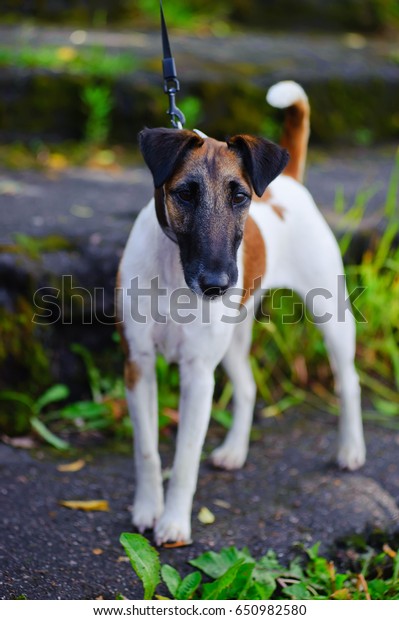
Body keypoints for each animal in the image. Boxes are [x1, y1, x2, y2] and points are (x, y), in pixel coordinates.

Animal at [115, 81, 366, 544]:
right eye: (185, 193)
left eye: (240, 197)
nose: (218, 284)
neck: (174, 272)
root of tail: (289, 181)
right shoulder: (137, 364)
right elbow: (147, 450)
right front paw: (147, 509)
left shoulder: (197, 374)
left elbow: (185, 459)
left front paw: (174, 522)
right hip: (233, 337)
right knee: (248, 387)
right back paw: (234, 451)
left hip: (332, 317)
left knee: (349, 381)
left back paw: (351, 449)